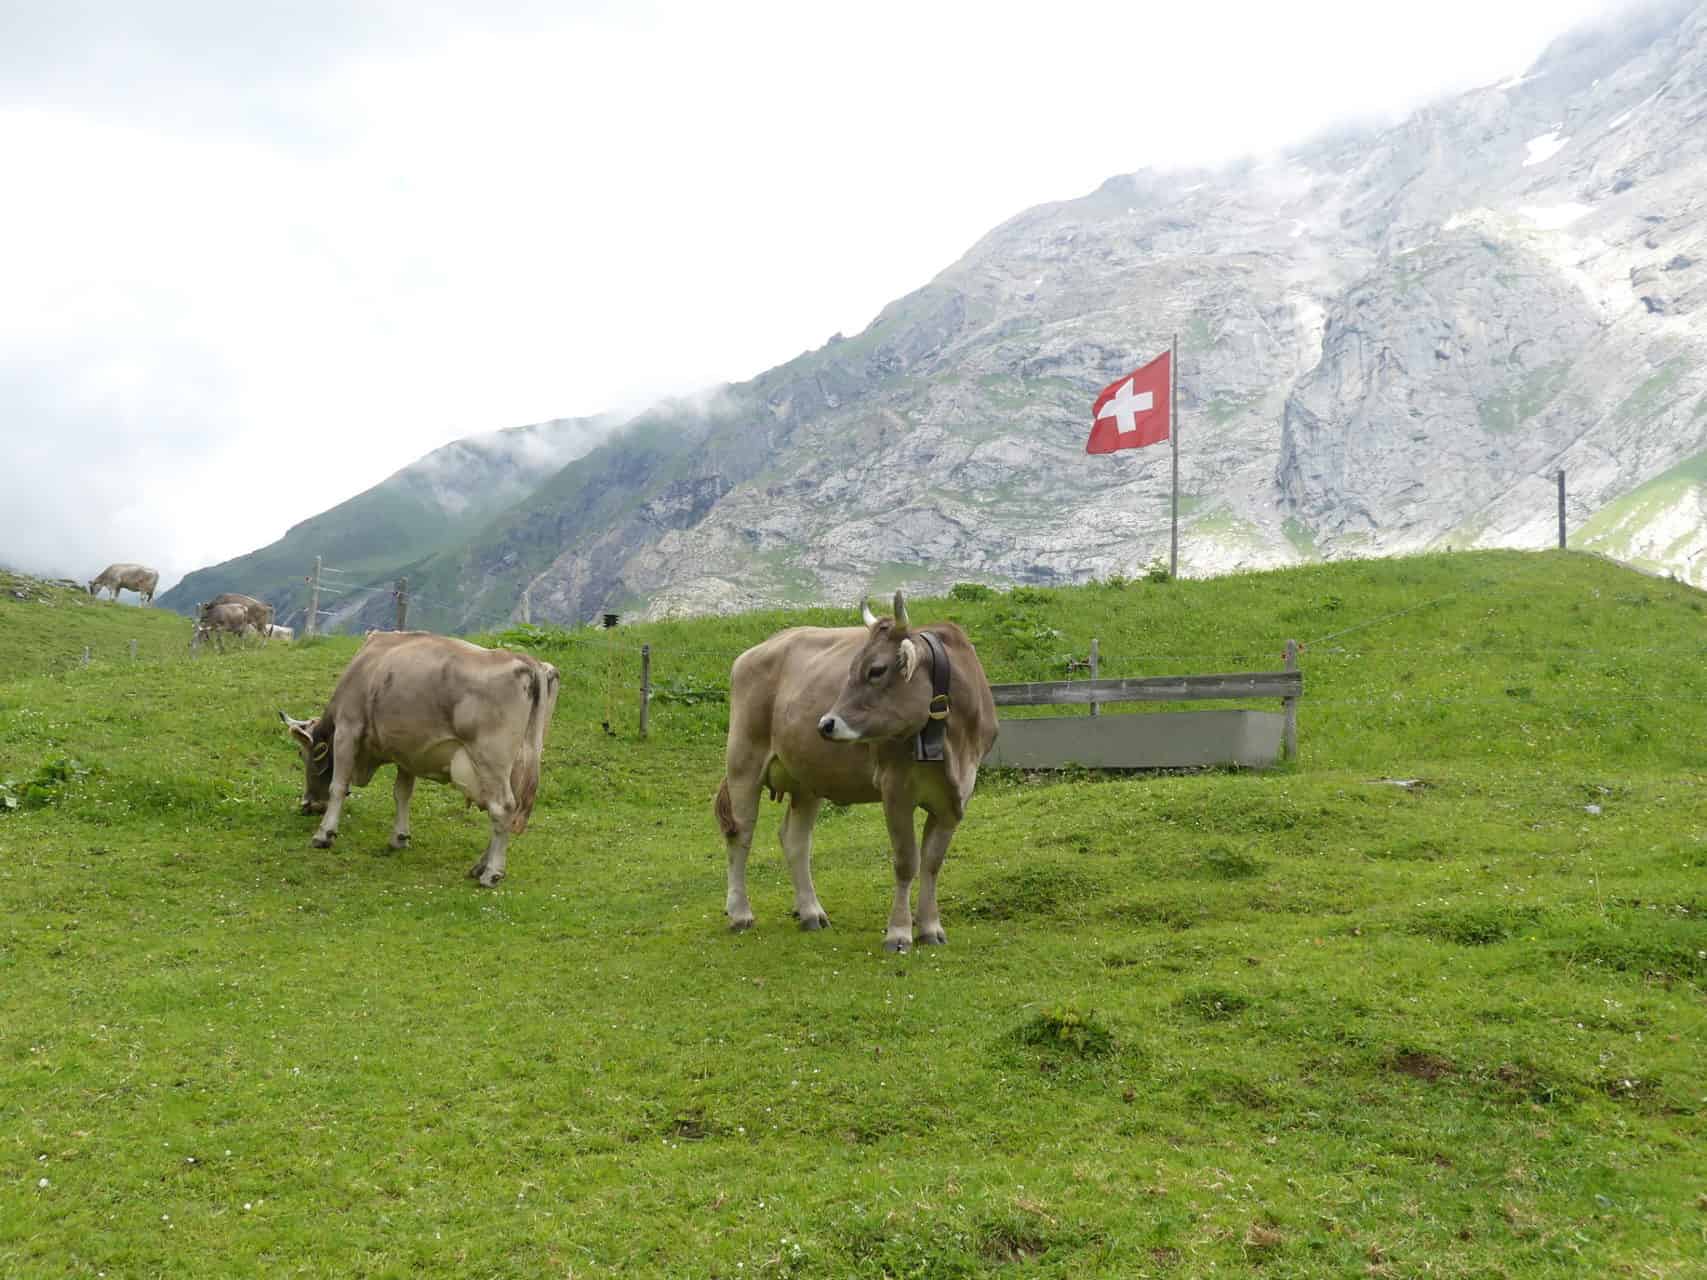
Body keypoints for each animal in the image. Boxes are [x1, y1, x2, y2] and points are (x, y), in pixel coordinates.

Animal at [279, 631, 560, 887]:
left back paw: (492, 873)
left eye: (301, 754)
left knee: (502, 807)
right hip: (521, 761)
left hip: (491, 760)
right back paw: (480, 866)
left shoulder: (348, 728)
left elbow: (338, 786)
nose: (307, 804)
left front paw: (324, 834)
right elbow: (402, 793)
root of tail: (526, 661)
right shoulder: (409, 752)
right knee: (507, 811)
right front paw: (399, 837)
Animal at [714, 590, 998, 952]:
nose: (825, 724)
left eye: (876, 670)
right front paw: (899, 932)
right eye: (850, 668)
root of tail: (762, 646)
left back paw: (810, 912)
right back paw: (740, 914)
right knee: (741, 834)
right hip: (744, 760)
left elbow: (932, 863)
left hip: (808, 779)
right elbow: (906, 862)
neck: (948, 740)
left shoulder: (955, 797)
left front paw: (931, 927)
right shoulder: (895, 788)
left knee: (796, 840)